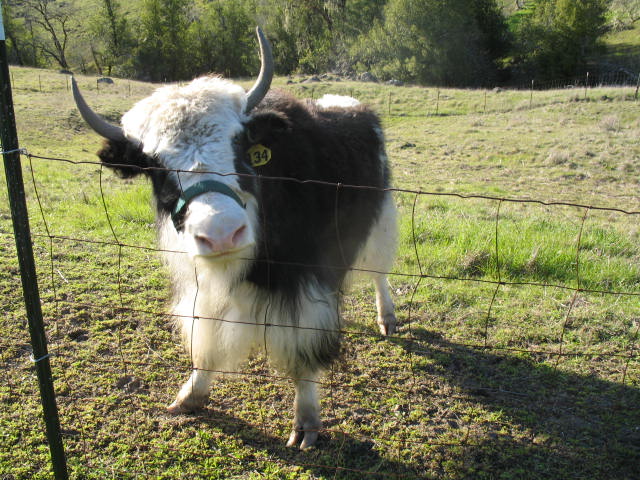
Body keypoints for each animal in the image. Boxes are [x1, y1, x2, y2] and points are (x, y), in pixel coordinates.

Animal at [72, 28, 398, 449]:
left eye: (239, 147)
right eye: (156, 166)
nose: (222, 234)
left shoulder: (305, 287)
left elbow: (303, 355)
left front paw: (306, 423)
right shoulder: (205, 286)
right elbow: (206, 341)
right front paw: (190, 395)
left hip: (381, 219)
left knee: (379, 273)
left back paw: (387, 318)